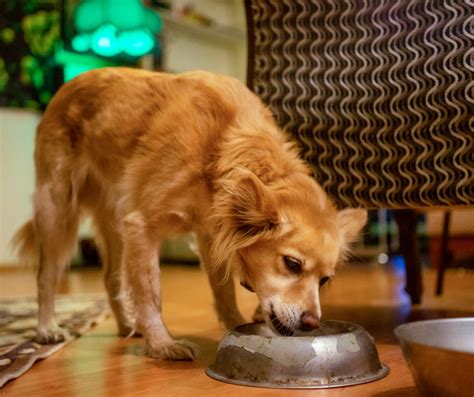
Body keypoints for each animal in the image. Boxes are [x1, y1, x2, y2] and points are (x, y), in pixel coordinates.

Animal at [11, 67, 366, 358]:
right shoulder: (142, 226)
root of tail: (69, 84)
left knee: (111, 278)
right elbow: (151, 294)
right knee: (46, 276)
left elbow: (223, 291)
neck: (219, 146)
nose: (312, 322)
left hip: (115, 223)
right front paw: (162, 345)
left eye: (325, 280)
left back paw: (128, 324)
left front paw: (235, 326)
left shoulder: (211, 234)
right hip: (57, 209)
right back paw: (46, 328)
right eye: (292, 264)